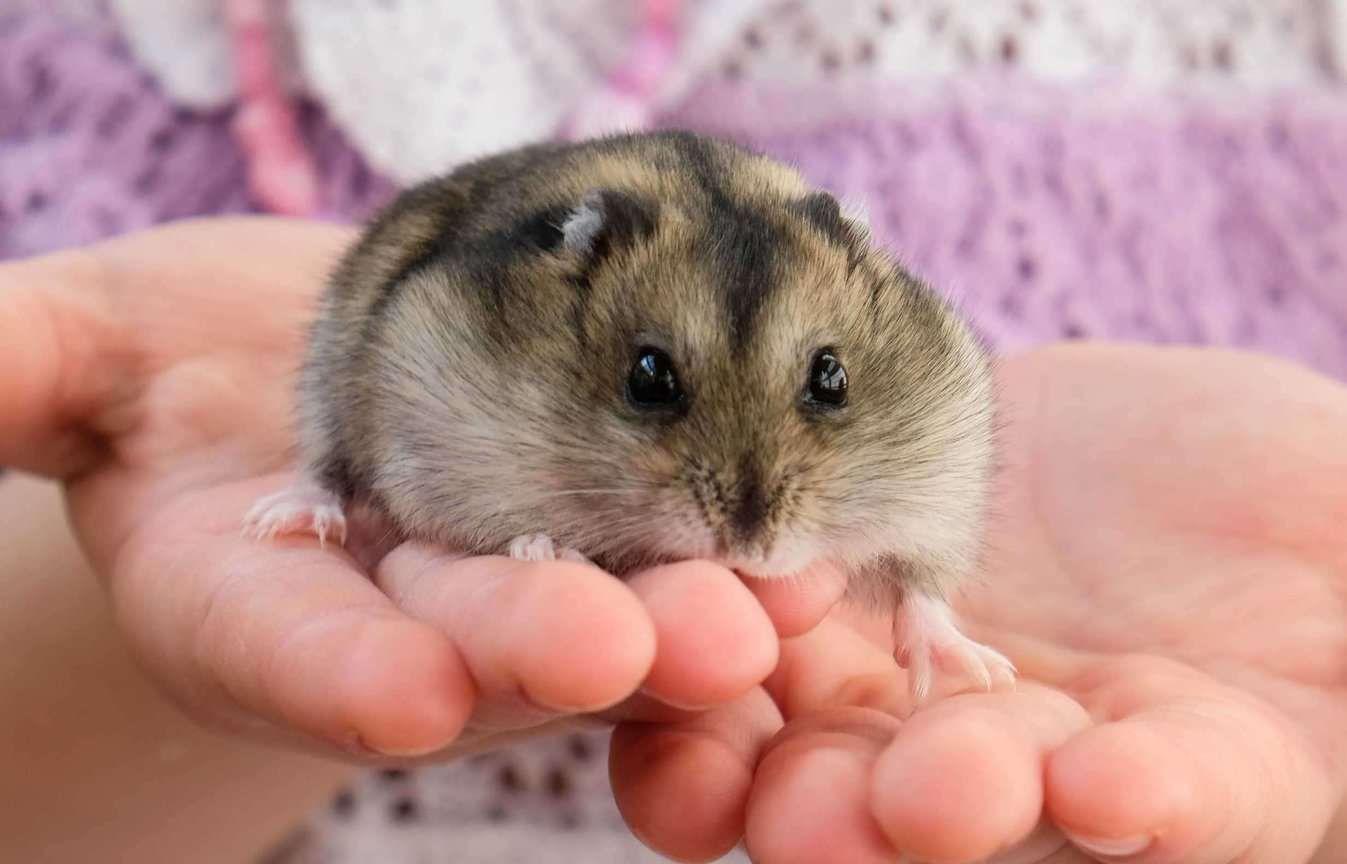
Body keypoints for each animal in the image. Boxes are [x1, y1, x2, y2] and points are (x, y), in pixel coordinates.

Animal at [244, 130, 1013, 702]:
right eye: (648, 376)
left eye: (832, 377)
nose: (747, 549)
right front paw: (550, 549)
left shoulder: (939, 480)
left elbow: (919, 588)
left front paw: (975, 672)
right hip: (329, 367)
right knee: (324, 466)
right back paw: (286, 521)